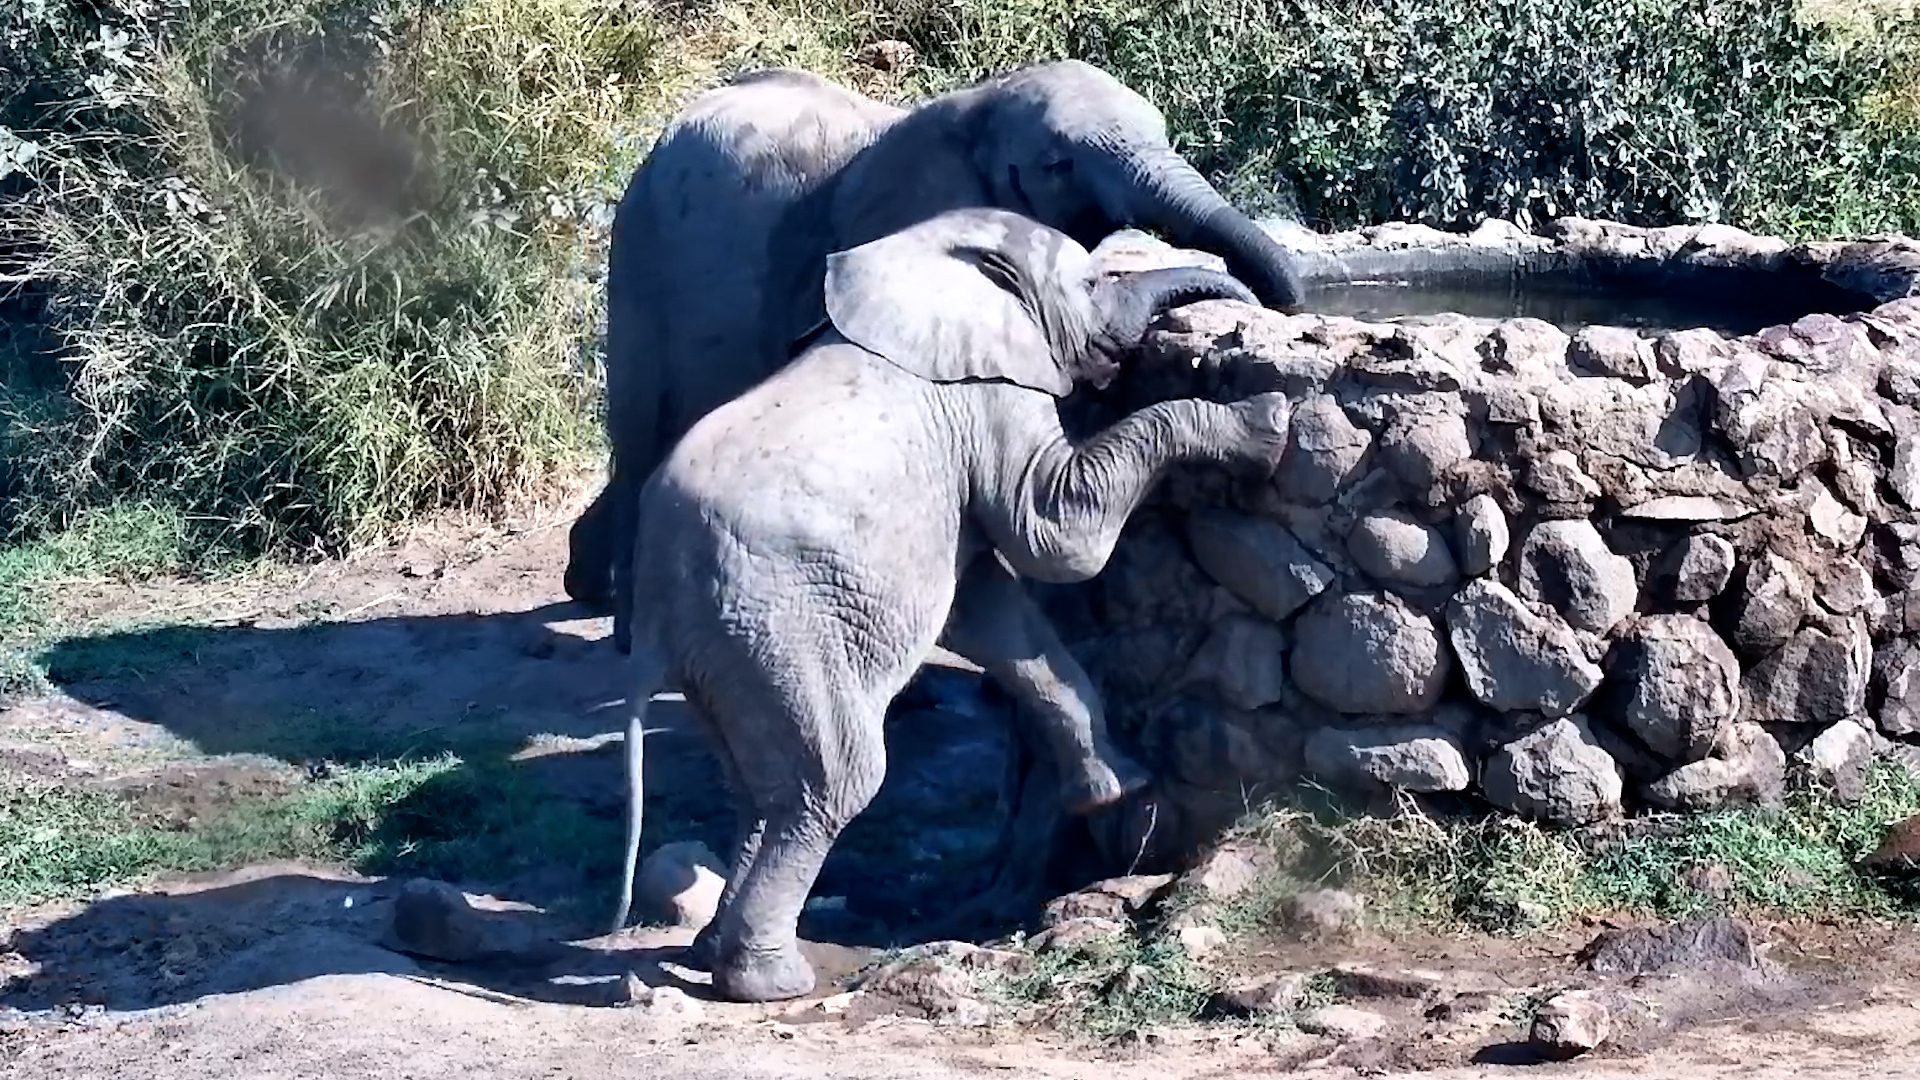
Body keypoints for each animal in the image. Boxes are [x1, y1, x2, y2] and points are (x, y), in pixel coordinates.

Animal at [563, 59, 1309, 653]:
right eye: (1059, 164)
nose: (1282, 306)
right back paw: (626, 633)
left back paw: (586, 582)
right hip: (641, 262)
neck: (978, 102)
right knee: (642, 433)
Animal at [608, 207, 1294, 1003]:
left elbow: (991, 607)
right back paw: (773, 983)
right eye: (1092, 283)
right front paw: (1268, 420)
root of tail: (654, 618)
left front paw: (1119, 790)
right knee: (833, 780)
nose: (1250, 319)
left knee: (760, 787)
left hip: (727, 653)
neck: (916, 257)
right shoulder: (988, 399)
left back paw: (713, 950)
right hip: (772, 629)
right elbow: (1059, 538)